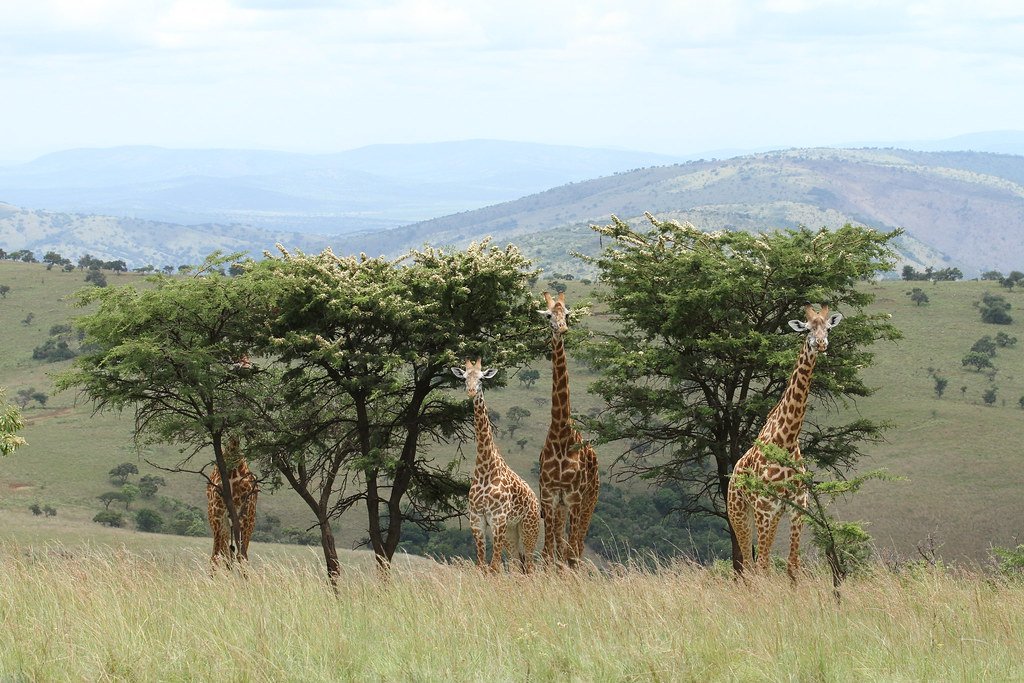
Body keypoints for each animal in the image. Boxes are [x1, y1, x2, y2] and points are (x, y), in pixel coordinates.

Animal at [207, 434, 259, 568]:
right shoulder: (217, 512)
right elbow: (216, 556)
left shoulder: (245, 514)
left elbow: (242, 556)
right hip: (220, 522)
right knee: (222, 554)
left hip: (248, 521)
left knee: (235, 554)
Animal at [451, 359, 541, 573]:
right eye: (464, 377)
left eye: (482, 378)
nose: (471, 391)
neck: (485, 468)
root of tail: (536, 501)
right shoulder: (477, 520)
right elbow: (482, 566)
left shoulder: (498, 519)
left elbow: (494, 567)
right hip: (511, 532)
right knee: (517, 565)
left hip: (529, 529)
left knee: (530, 567)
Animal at [727, 304, 842, 580]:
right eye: (808, 329)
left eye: (828, 328)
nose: (821, 344)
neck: (787, 441)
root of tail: (732, 476)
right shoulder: (764, 506)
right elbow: (763, 565)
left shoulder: (797, 505)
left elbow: (792, 566)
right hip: (739, 513)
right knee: (749, 564)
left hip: (770, 515)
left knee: (757, 561)